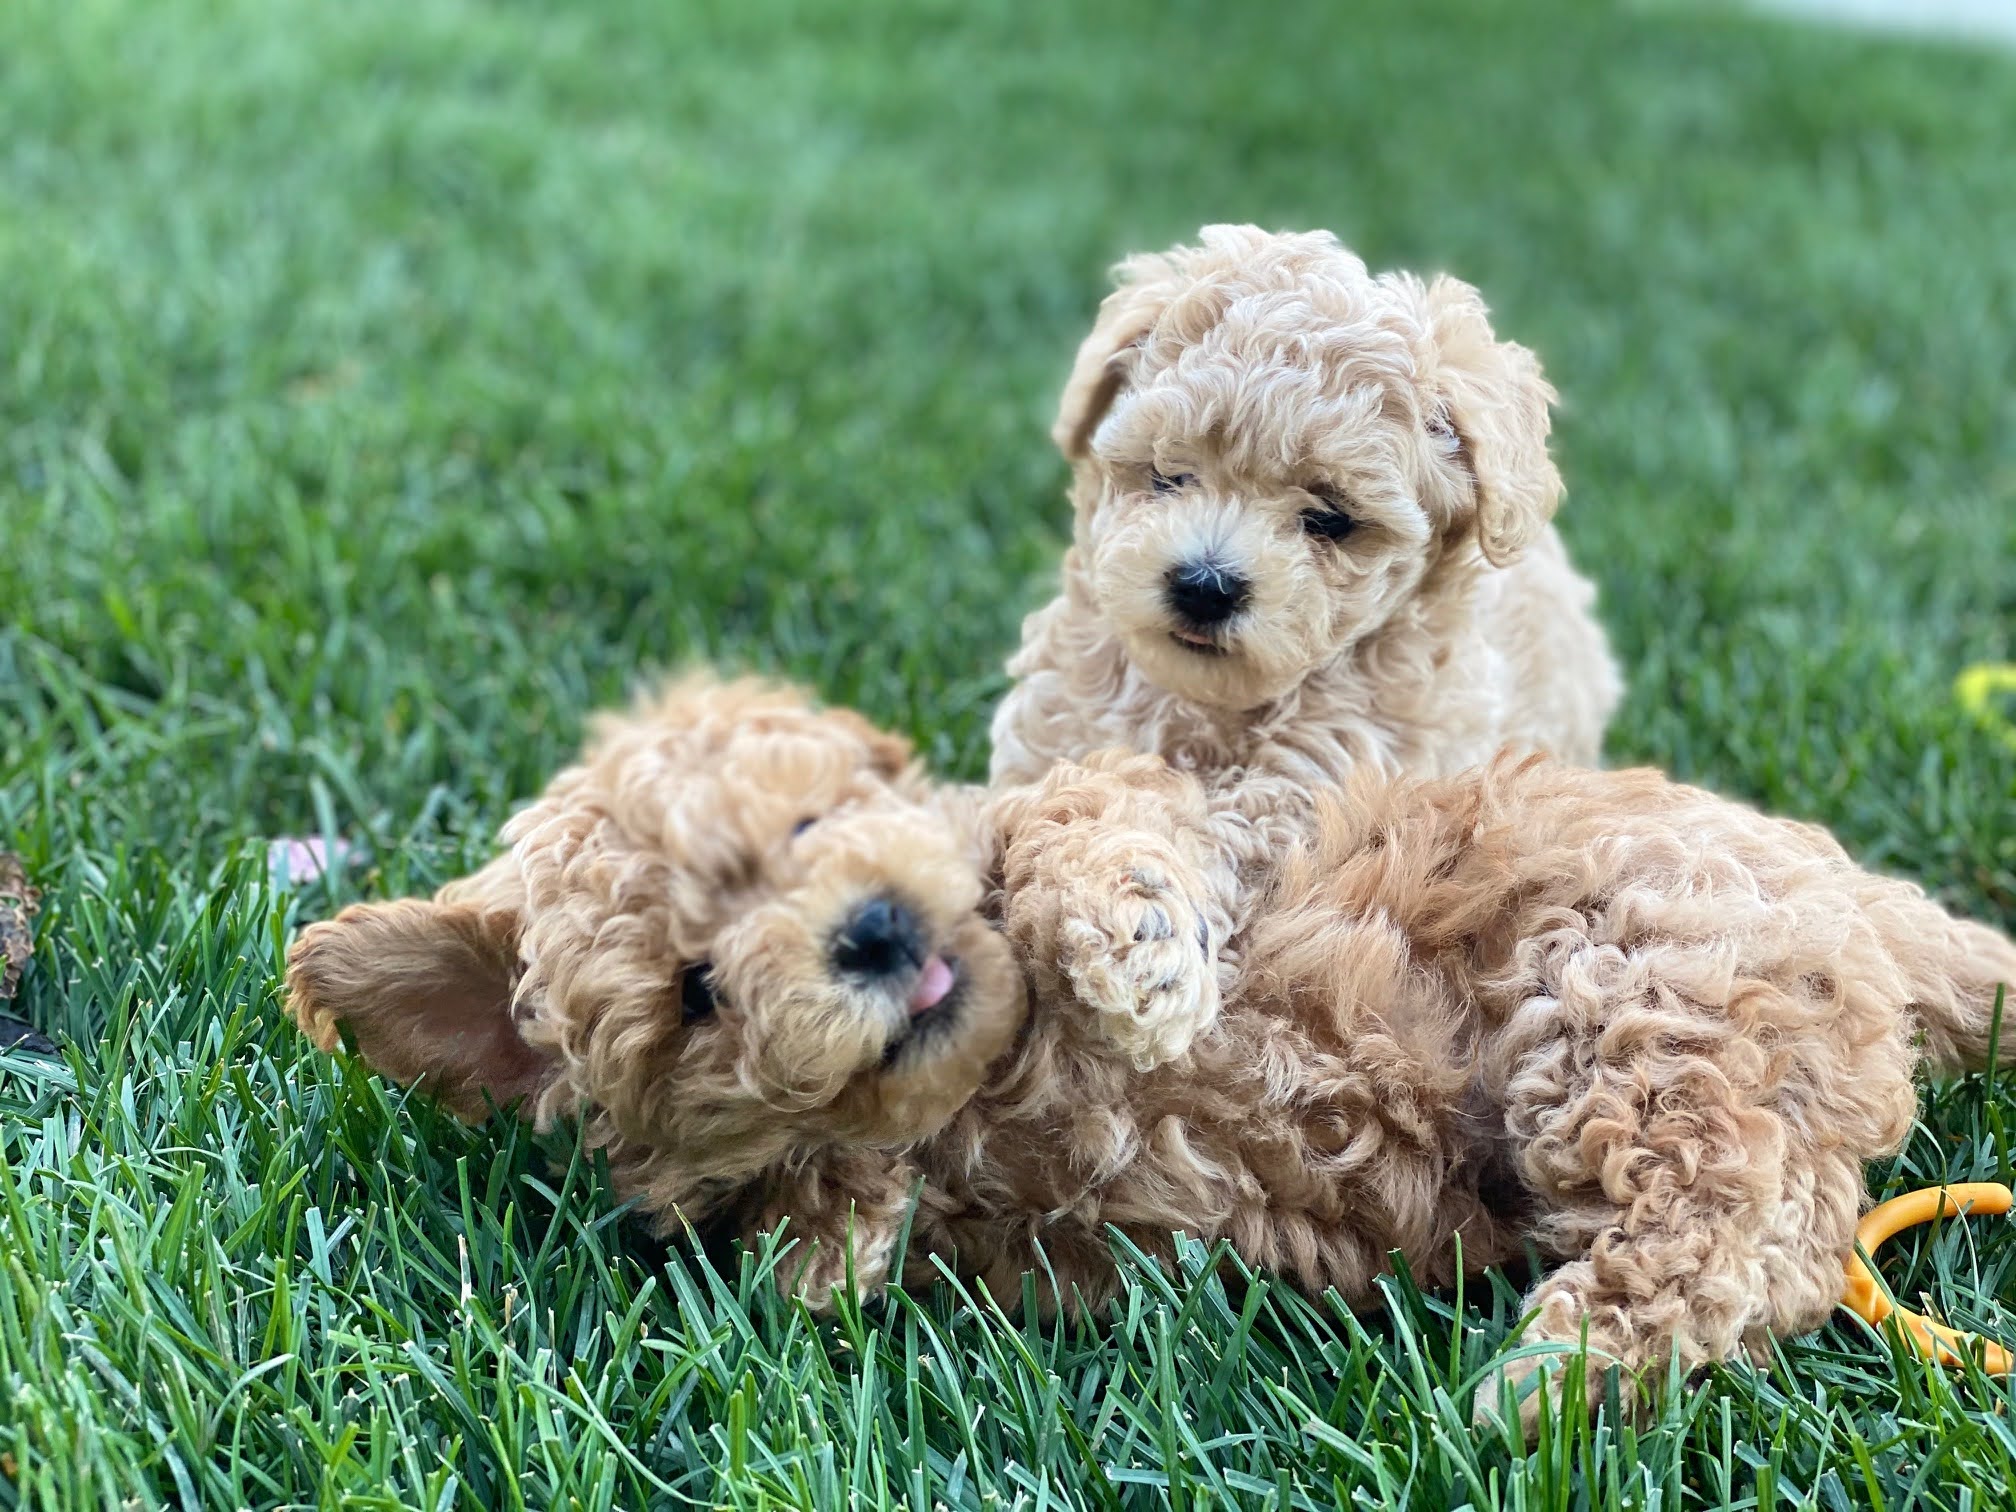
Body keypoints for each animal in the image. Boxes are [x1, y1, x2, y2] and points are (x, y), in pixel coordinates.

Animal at [288, 681, 2016, 1427]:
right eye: (696, 988)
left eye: (811, 824)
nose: (871, 933)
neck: (995, 1078)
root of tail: (1880, 912)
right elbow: (800, 1231)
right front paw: (829, 1220)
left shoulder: (1177, 807)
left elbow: (1089, 816)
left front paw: (1129, 958)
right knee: (1770, 1229)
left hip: (1632, 985)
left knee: (1743, 1226)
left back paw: (1553, 1375)